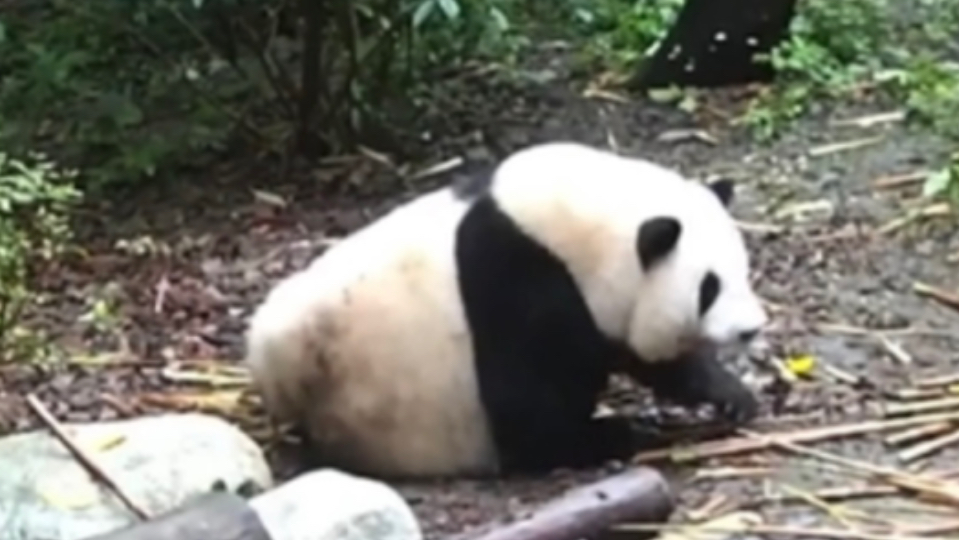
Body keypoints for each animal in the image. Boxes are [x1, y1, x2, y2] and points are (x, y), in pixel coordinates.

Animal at [244, 141, 768, 478]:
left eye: (743, 268)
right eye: (708, 287)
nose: (752, 328)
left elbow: (646, 357)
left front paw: (729, 395)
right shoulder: (517, 280)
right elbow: (527, 399)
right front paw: (606, 435)